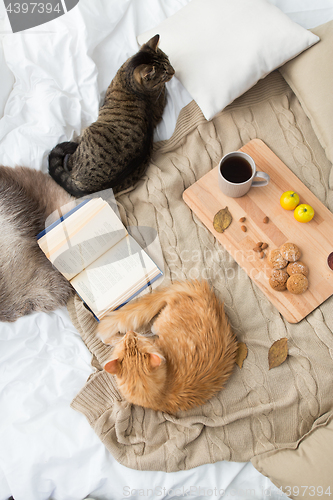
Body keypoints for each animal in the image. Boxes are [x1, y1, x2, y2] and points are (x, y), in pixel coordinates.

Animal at [48, 35, 176, 197]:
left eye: (168, 62)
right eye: (165, 72)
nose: (174, 71)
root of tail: (88, 189)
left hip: (88, 133)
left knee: (69, 160)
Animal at [96, 282, 239, 414]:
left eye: (136, 339)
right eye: (129, 342)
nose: (130, 332)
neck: (162, 394)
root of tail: (201, 295)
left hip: (156, 325)